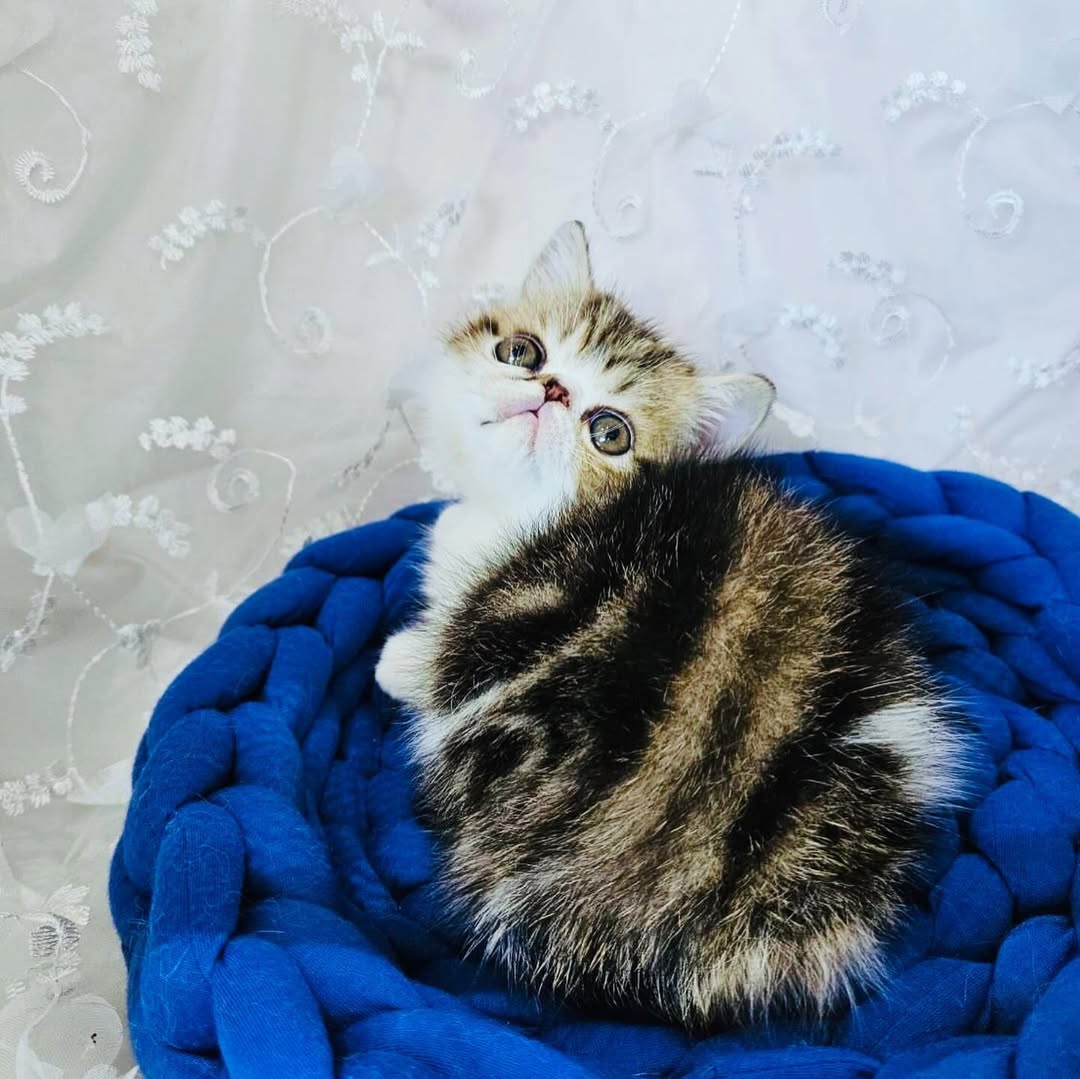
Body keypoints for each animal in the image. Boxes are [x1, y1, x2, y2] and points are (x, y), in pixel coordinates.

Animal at [375, 221, 963, 1028]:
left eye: (610, 432)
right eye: (522, 351)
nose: (552, 392)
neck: (516, 511)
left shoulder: (511, 608)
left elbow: (441, 660)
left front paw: (396, 658)